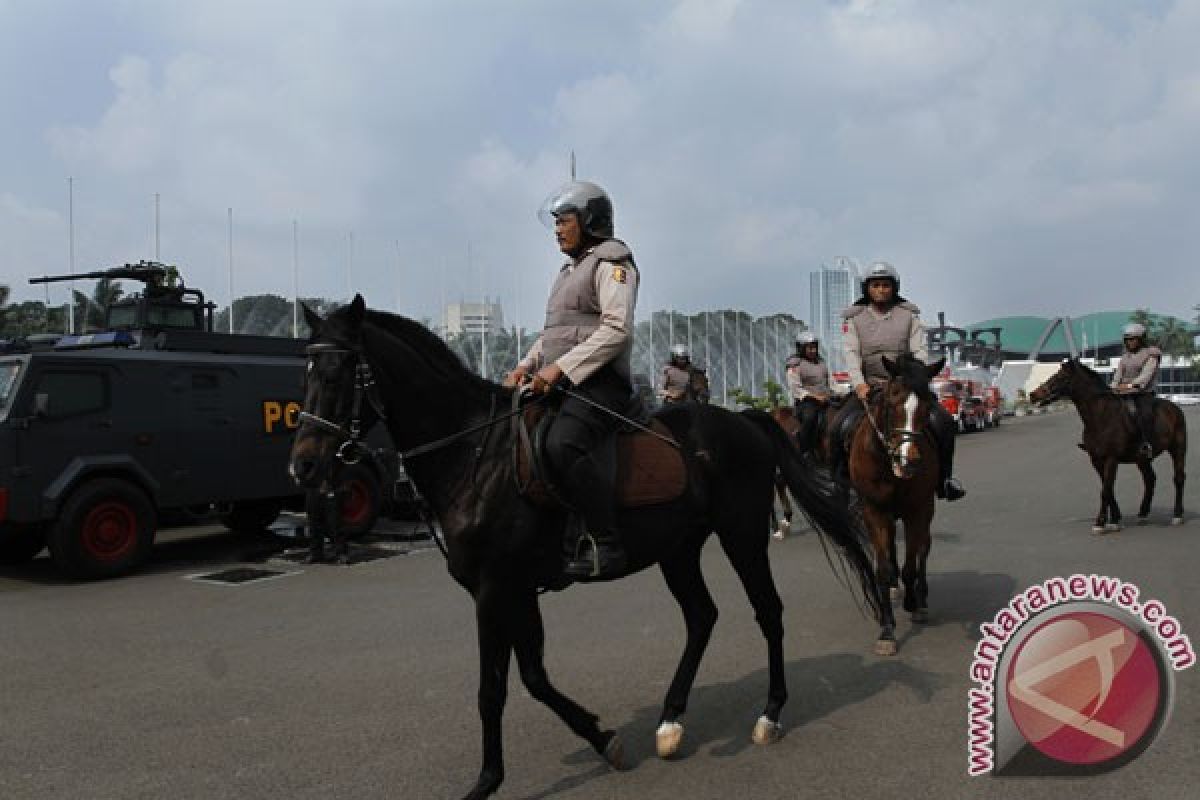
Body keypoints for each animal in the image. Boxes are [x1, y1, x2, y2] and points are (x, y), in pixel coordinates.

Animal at [286, 298, 878, 800]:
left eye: (337, 373)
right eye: (306, 372)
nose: (304, 466)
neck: (475, 451)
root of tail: (743, 419)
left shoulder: (494, 589)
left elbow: (493, 690)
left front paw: (487, 780)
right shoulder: (515, 590)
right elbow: (533, 677)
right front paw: (601, 738)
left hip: (742, 535)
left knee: (767, 611)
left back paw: (769, 715)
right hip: (678, 548)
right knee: (701, 616)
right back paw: (671, 720)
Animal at [830, 357, 940, 657]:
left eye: (928, 406)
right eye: (892, 403)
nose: (908, 461)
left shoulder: (917, 511)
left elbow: (911, 565)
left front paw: (913, 603)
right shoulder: (874, 512)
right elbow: (882, 570)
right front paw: (887, 630)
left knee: (923, 550)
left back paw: (921, 598)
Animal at [1027, 359, 1185, 534]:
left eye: (1060, 377)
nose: (1033, 395)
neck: (1101, 416)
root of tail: (1174, 408)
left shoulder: (1111, 458)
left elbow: (1105, 490)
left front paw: (1100, 523)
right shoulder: (1096, 460)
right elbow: (1108, 489)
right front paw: (1115, 520)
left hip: (1178, 449)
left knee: (1178, 478)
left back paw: (1177, 515)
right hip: (1142, 459)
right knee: (1150, 479)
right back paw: (1143, 513)